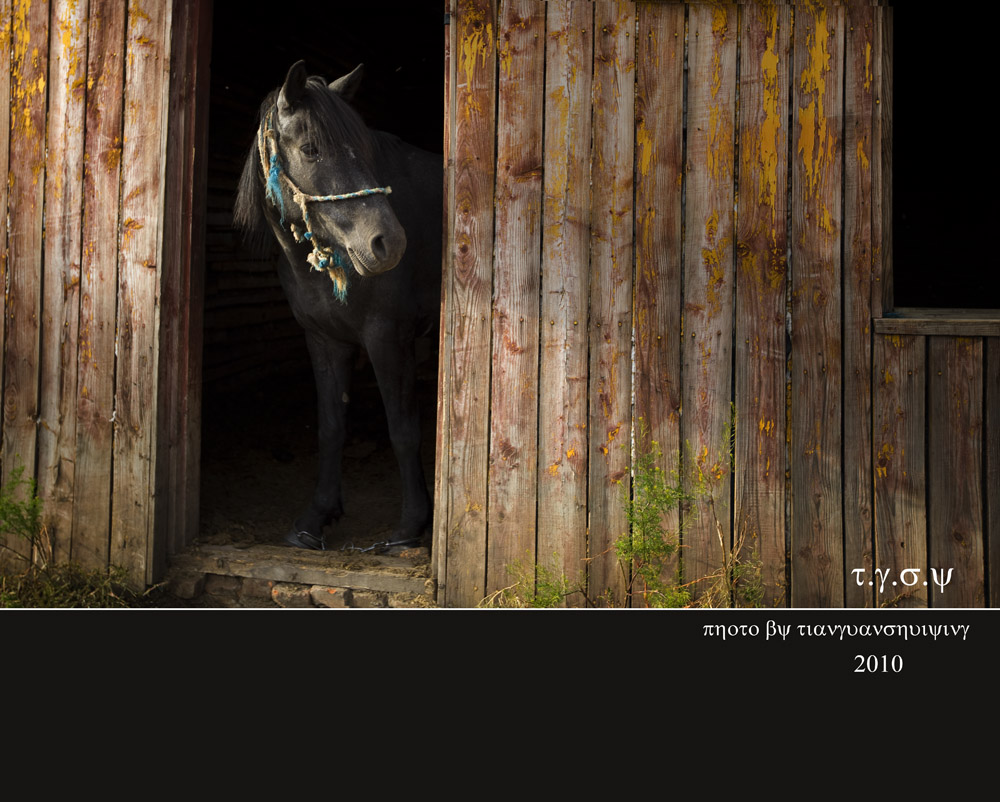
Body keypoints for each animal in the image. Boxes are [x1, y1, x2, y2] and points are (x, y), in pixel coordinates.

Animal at [236, 64, 440, 552]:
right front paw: (315, 518)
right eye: (311, 149)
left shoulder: (388, 337)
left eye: (364, 149)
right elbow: (331, 427)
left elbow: (403, 429)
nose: (389, 242)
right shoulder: (324, 340)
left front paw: (411, 525)